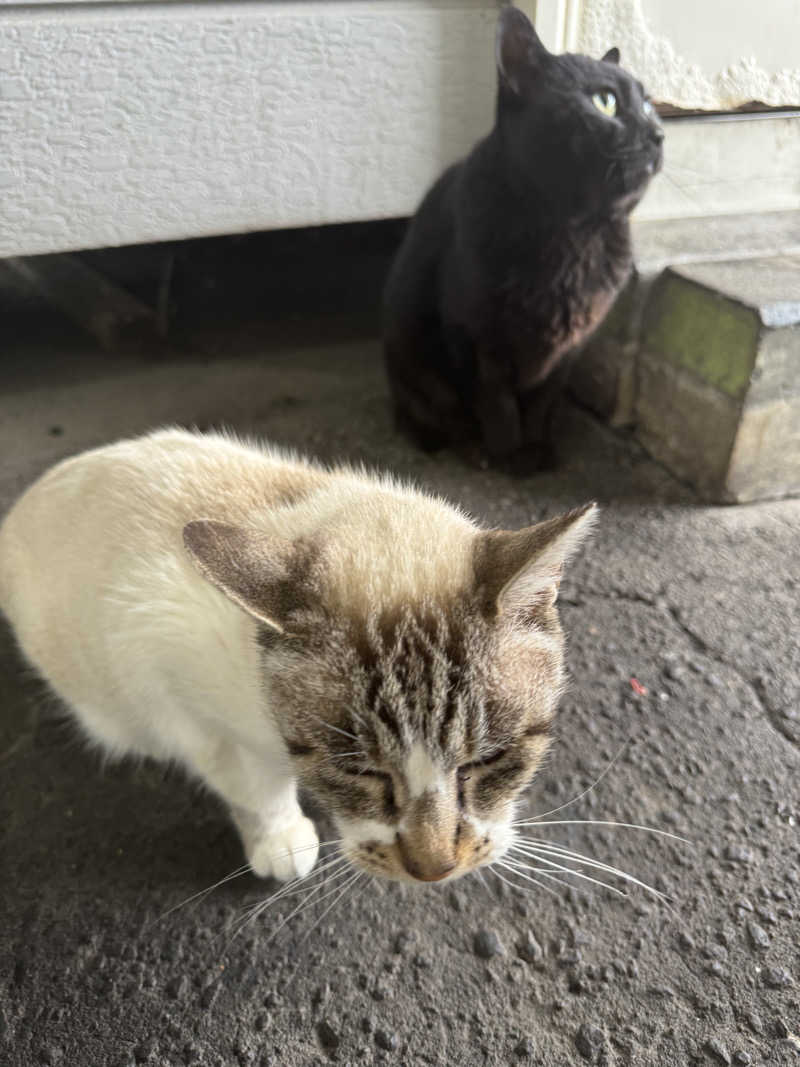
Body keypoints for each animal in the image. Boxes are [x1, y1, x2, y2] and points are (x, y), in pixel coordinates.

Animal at [381, 5, 665, 467]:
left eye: (648, 104)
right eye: (604, 101)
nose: (660, 135)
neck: (575, 236)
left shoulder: (569, 350)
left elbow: (542, 403)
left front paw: (537, 450)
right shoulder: (476, 339)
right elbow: (497, 403)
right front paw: (507, 455)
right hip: (406, 353)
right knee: (419, 409)